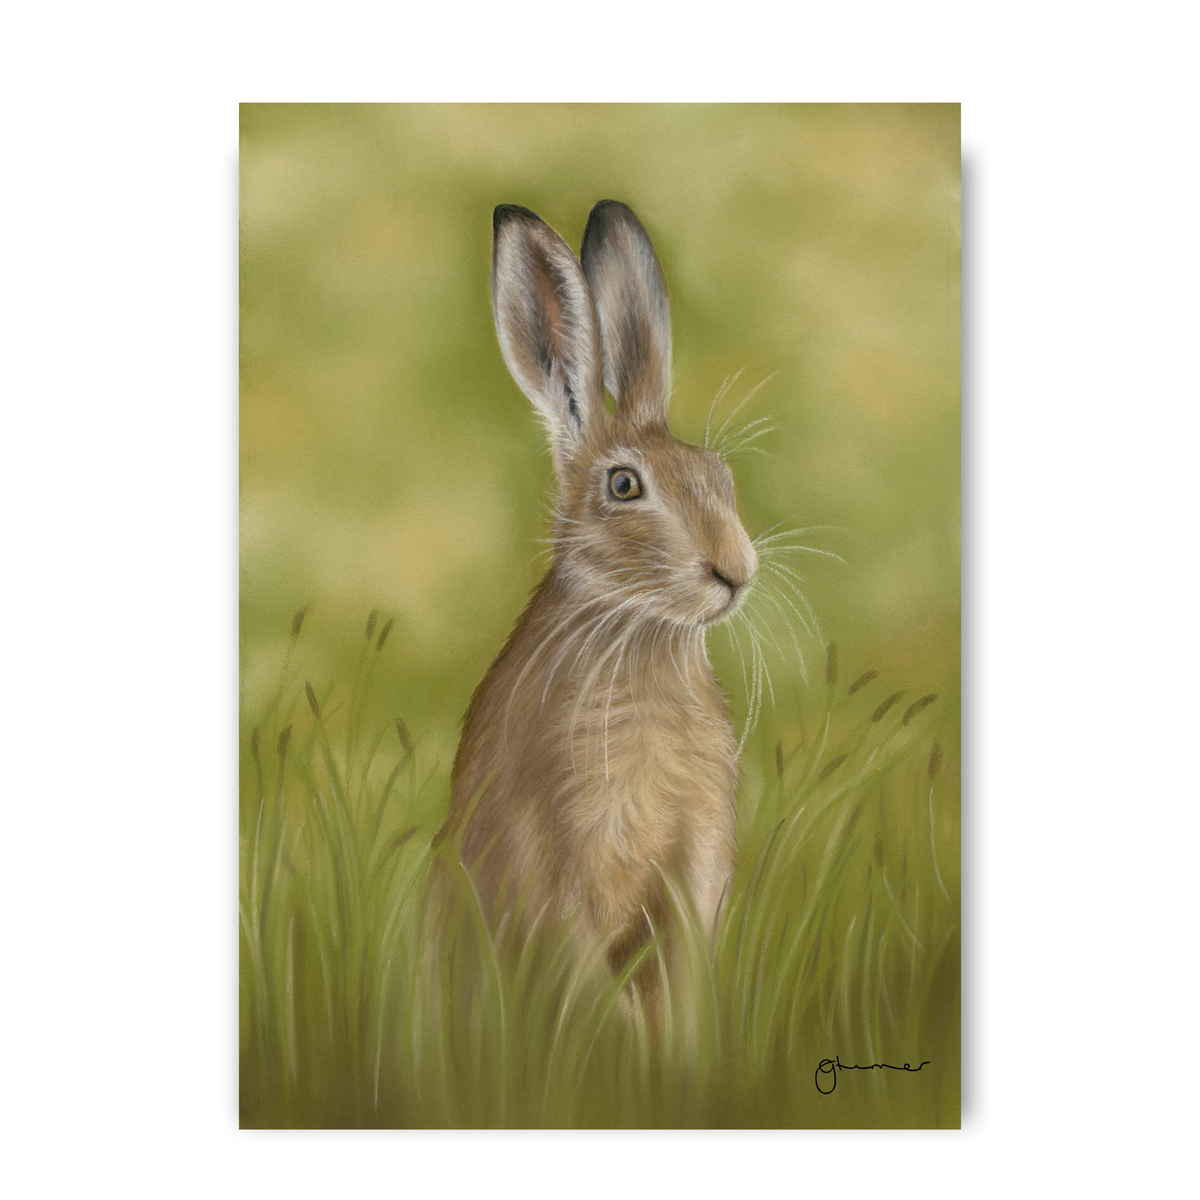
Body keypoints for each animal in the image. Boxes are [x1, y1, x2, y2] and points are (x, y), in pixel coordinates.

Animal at [446, 200, 758, 995]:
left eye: (719, 473)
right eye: (623, 486)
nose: (736, 570)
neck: (640, 635)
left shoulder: (695, 868)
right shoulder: (559, 860)